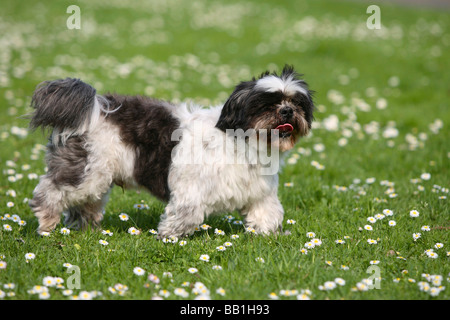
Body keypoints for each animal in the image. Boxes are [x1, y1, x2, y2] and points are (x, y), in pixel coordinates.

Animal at [28, 65, 314, 238]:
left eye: (297, 103)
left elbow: (269, 213)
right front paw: (169, 236)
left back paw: (85, 229)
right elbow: (186, 214)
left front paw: (267, 235)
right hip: (85, 171)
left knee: (85, 204)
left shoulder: (259, 193)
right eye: (267, 104)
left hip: (96, 177)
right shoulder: (191, 189)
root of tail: (95, 108)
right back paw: (47, 222)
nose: (287, 111)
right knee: (51, 191)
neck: (243, 142)